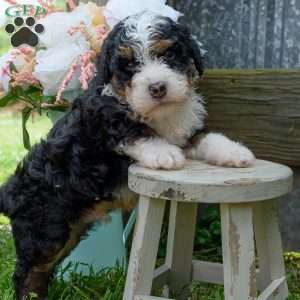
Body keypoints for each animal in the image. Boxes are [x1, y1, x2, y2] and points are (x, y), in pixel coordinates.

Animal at [0, 11, 254, 300]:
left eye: (169, 55)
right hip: (45, 232)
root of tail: (8, 193)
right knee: (27, 271)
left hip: (67, 231)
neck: (159, 114)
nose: (157, 88)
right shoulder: (102, 119)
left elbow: (206, 138)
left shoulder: (186, 132)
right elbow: (131, 130)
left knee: (41, 271)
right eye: (130, 64)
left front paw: (235, 152)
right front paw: (163, 153)